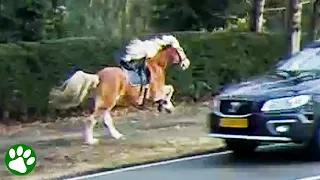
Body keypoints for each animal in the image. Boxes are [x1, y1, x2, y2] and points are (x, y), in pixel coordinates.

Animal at [48, 45, 190, 145]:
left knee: (106, 120)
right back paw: (91, 141)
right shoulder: (156, 92)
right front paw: (166, 105)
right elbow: (170, 89)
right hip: (107, 102)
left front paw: (167, 107)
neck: (157, 65)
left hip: (107, 103)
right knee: (91, 119)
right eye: (181, 51)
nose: (186, 63)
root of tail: (98, 76)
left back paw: (117, 135)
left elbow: (169, 90)